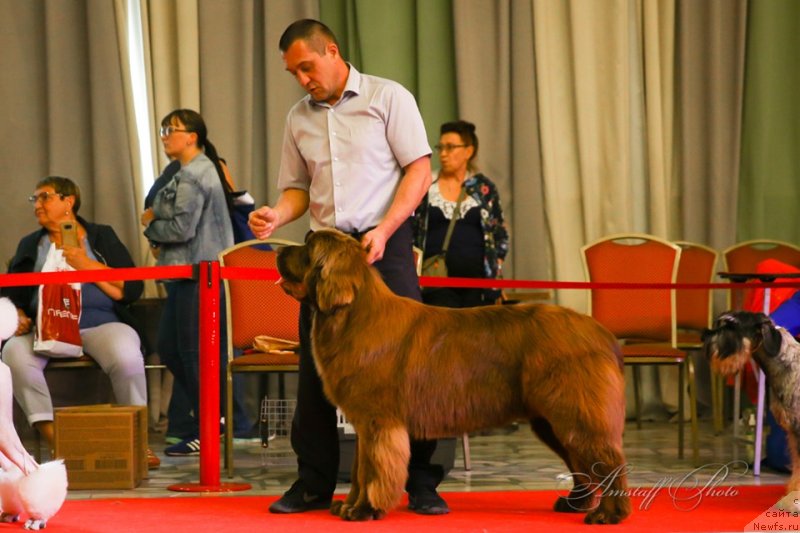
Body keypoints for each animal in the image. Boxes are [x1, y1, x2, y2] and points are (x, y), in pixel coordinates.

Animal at [276, 230, 632, 524]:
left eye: (308, 247)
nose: (278, 250)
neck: (351, 316)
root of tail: (601, 333)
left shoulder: (378, 422)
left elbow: (373, 470)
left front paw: (364, 510)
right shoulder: (364, 424)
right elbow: (358, 468)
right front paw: (349, 506)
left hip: (575, 412)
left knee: (607, 460)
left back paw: (608, 514)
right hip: (551, 419)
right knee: (582, 463)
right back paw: (575, 504)